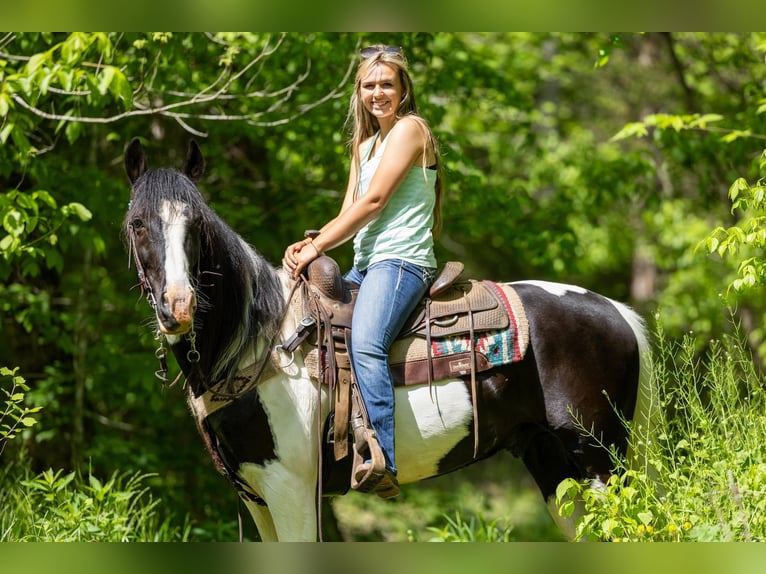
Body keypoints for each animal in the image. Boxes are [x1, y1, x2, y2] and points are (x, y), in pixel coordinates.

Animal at [124, 141, 656, 544]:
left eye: (197, 226)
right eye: (137, 223)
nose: (178, 307)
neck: (264, 343)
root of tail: (617, 311)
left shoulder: (291, 490)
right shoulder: (256, 498)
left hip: (600, 461)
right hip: (553, 464)